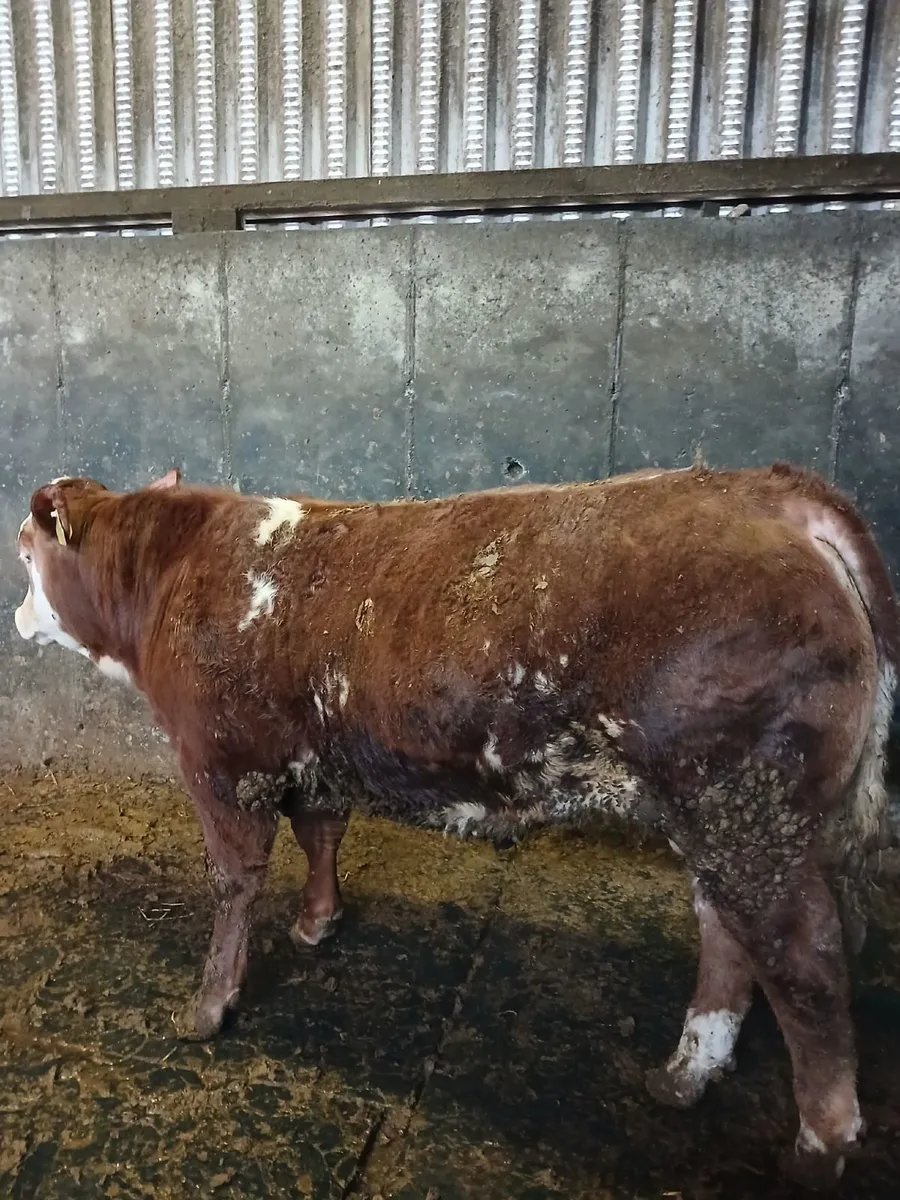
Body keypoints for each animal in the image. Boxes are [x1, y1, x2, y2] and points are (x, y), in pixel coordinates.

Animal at [12, 462, 898, 1190]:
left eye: (23, 553)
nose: (17, 616)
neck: (177, 572)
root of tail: (764, 490)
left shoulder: (220, 768)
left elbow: (234, 884)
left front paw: (207, 1008)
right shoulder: (314, 760)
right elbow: (322, 835)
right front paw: (316, 923)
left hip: (744, 807)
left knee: (805, 960)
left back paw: (817, 1146)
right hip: (713, 814)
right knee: (726, 931)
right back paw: (685, 1074)